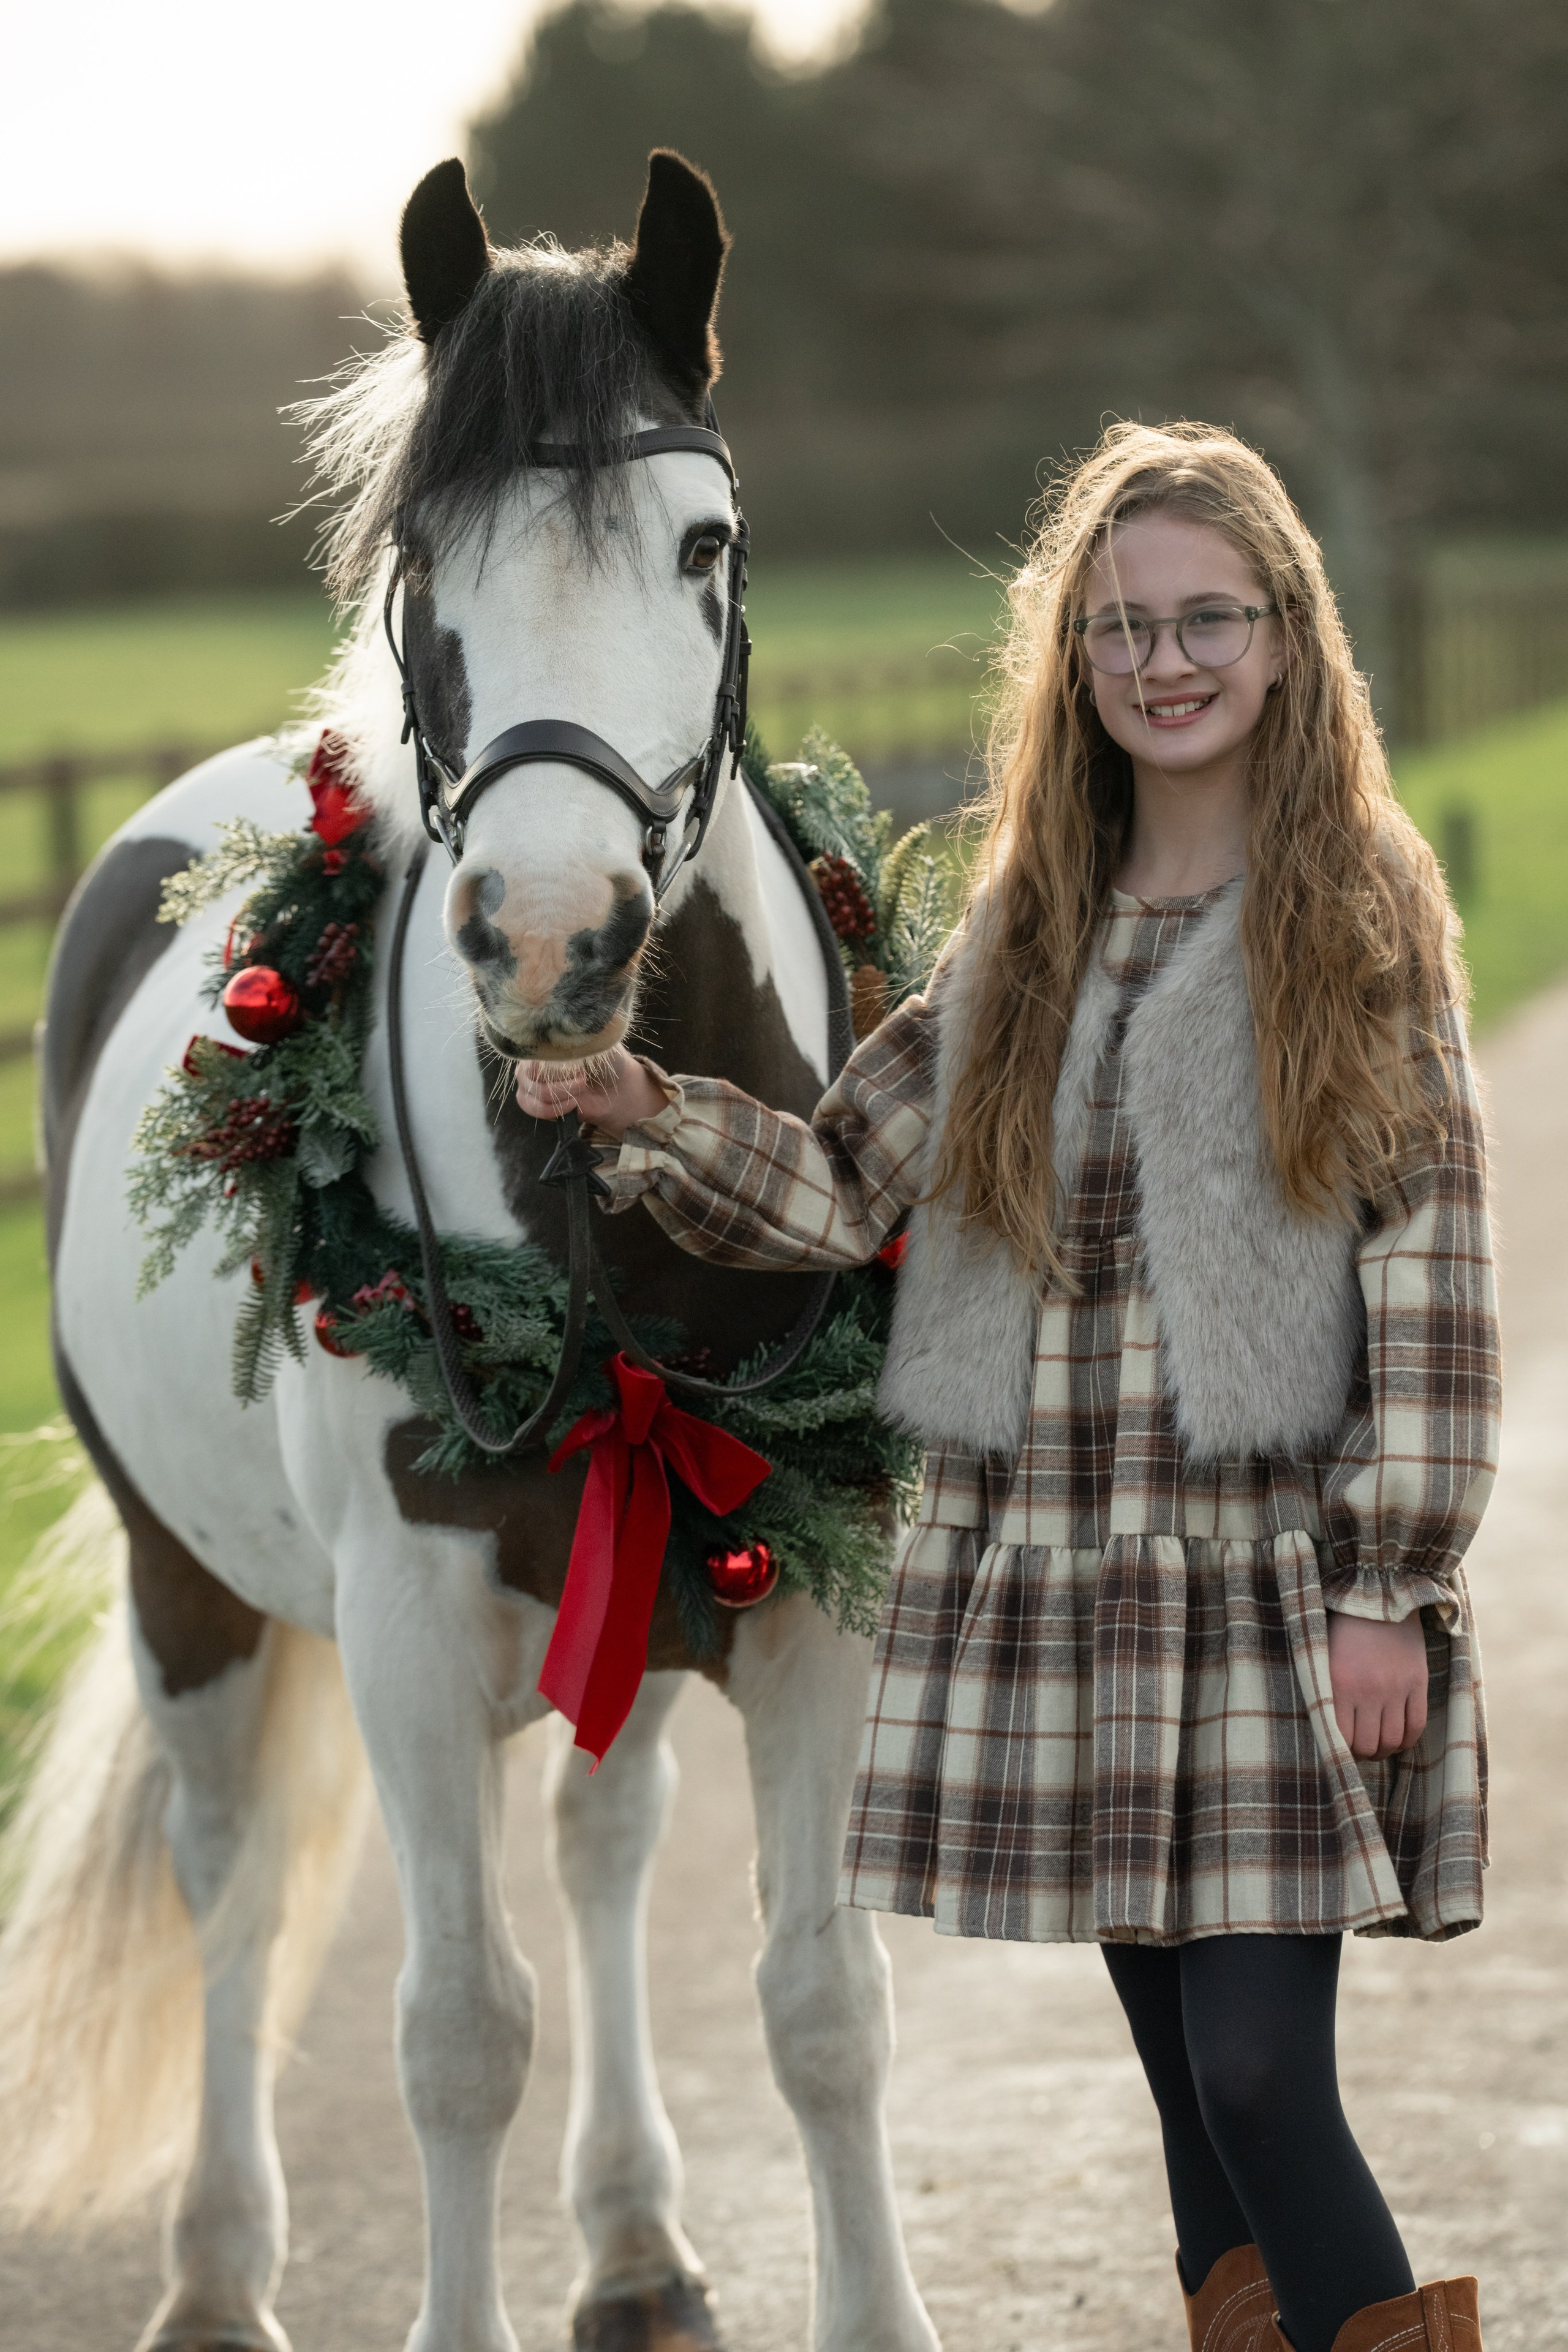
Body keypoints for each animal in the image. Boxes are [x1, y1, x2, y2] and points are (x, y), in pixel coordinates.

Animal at [0, 152, 941, 2352]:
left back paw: (632, 2234)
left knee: (603, 1845)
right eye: (426, 553)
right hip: (192, 1603)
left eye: (706, 544)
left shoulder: (809, 1607)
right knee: (234, 1883)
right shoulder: (415, 1640)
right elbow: (456, 2034)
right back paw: (217, 2268)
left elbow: (823, 2006)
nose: (549, 939)